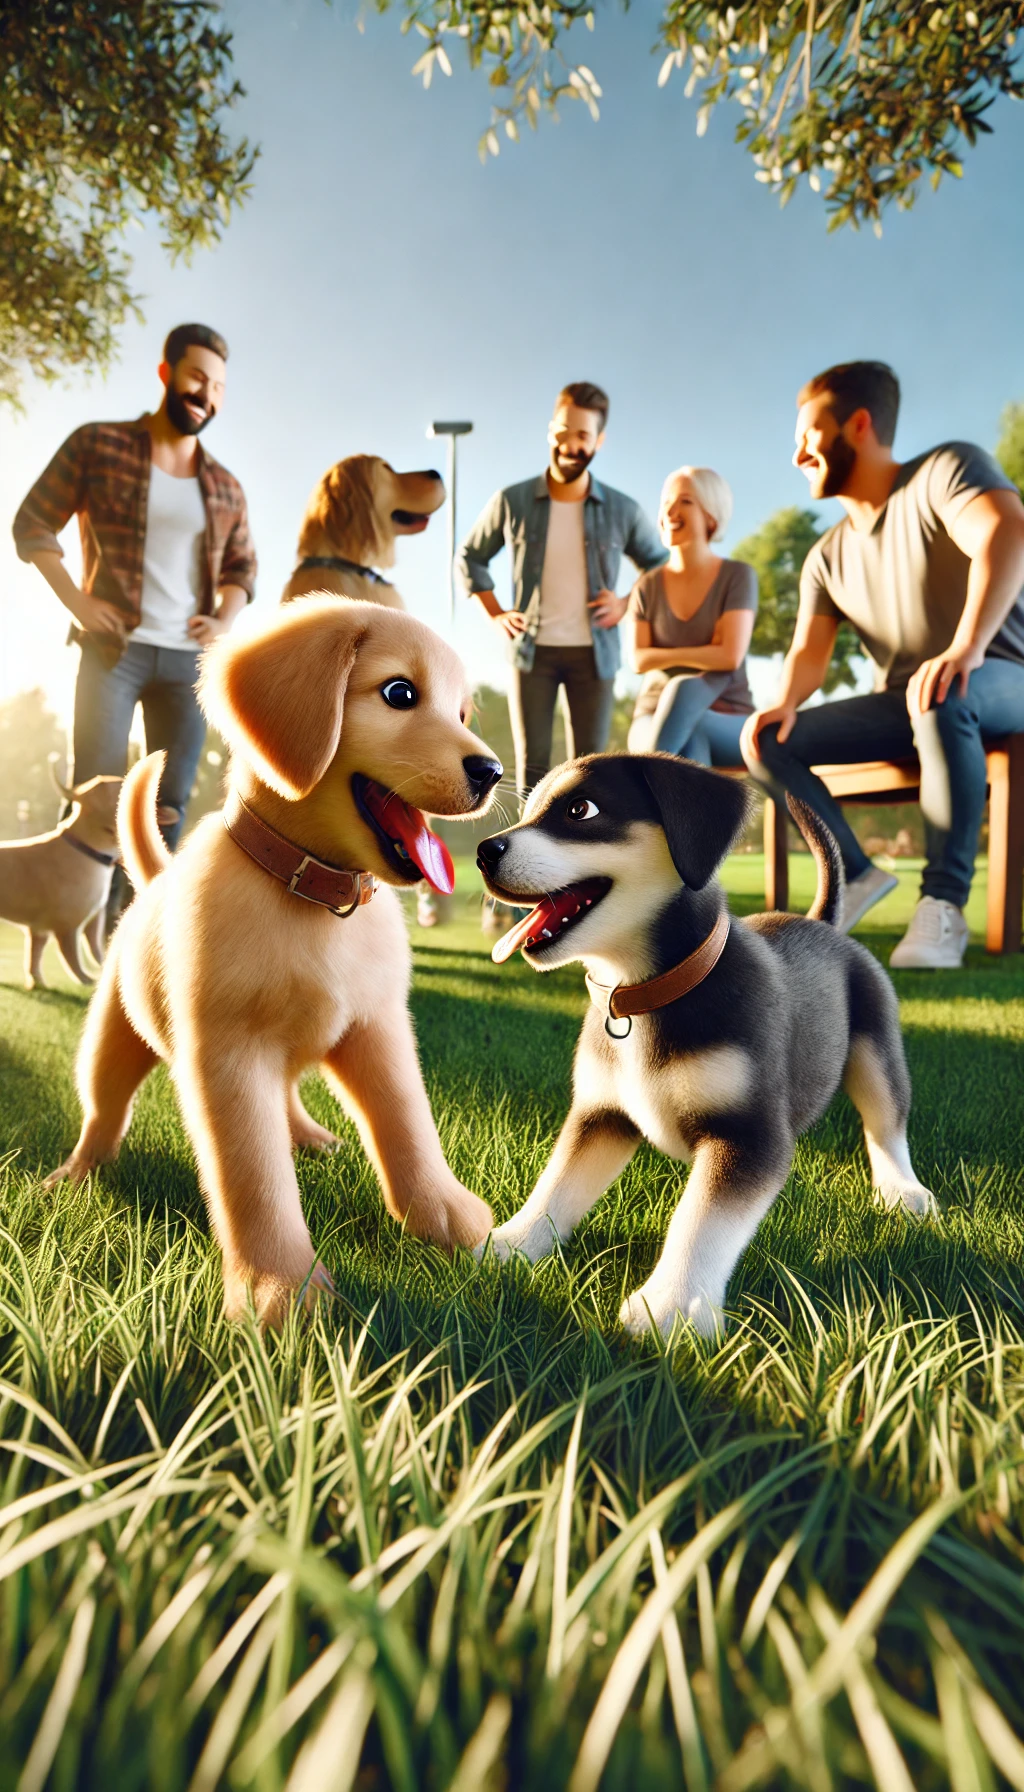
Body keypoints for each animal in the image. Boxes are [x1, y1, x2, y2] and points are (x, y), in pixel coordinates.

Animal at [0, 774, 121, 989]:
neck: (86, 850)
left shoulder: (42, 930)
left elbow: (34, 960)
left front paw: (37, 983)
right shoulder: (67, 926)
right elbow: (73, 959)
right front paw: (87, 980)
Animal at [47, 602, 505, 1333]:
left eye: (463, 712)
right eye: (400, 693)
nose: (491, 771)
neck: (316, 899)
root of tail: (155, 880)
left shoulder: (378, 1029)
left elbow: (408, 1125)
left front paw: (447, 1215)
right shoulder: (228, 1058)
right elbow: (254, 1179)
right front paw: (279, 1290)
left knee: (289, 1098)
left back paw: (311, 1137)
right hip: (110, 1044)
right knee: (103, 1112)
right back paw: (75, 1174)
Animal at [477, 749, 932, 1340]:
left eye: (581, 810)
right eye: (529, 812)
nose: (483, 852)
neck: (643, 995)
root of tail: (824, 925)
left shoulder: (748, 1136)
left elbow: (702, 1220)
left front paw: (671, 1306)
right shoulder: (601, 1114)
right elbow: (557, 1184)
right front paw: (513, 1243)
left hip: (877, 1048)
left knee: (886, 1124)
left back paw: (902, 1190)